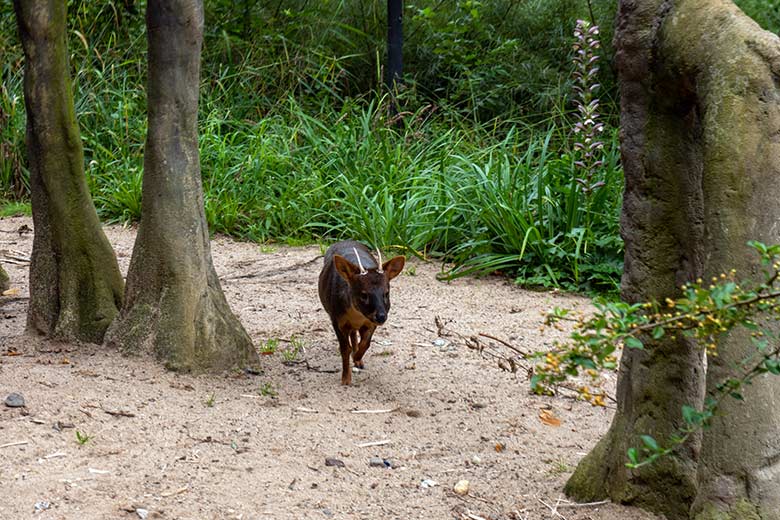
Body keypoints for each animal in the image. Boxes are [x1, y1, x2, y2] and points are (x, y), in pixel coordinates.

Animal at [318, 242, 406, 384]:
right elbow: (345, 349)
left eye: (386, 293)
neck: (358, 315)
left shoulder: (370, 322)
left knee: (354, 334)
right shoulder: (336, 319)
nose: (381, 316)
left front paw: (357, 358)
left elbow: (366, 343)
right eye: (364, 295)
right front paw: (346, 379)